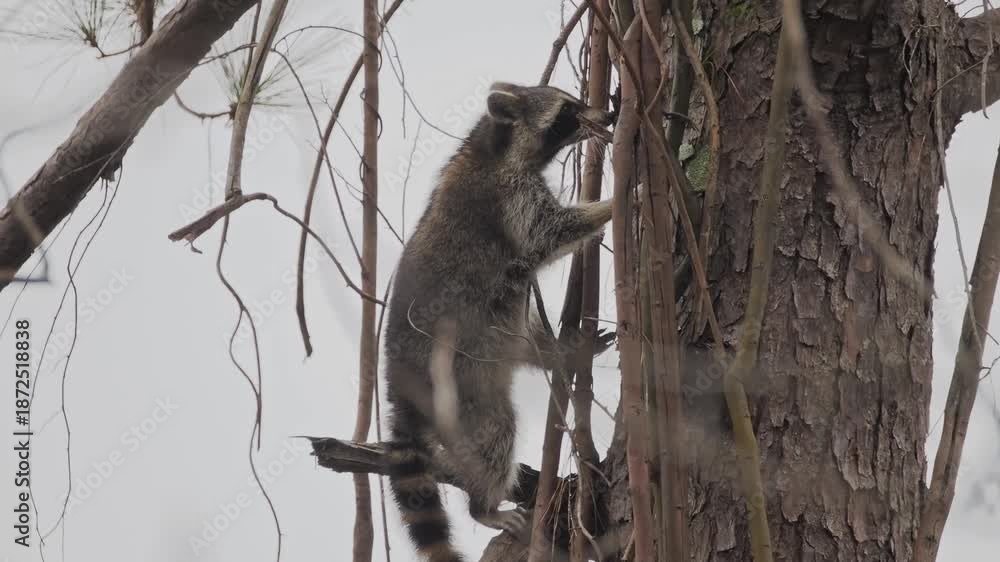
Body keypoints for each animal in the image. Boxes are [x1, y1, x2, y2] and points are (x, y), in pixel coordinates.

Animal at [382, 82, 618, 562]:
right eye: (568, 109)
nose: (606, 117)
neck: (492, 144)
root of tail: (399, 379)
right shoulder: (507, 197)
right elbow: (550, 232)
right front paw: (614, 200)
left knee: (524, 343)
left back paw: (562, 350)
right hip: (459, 387)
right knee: (495, 433)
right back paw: (483, 505)